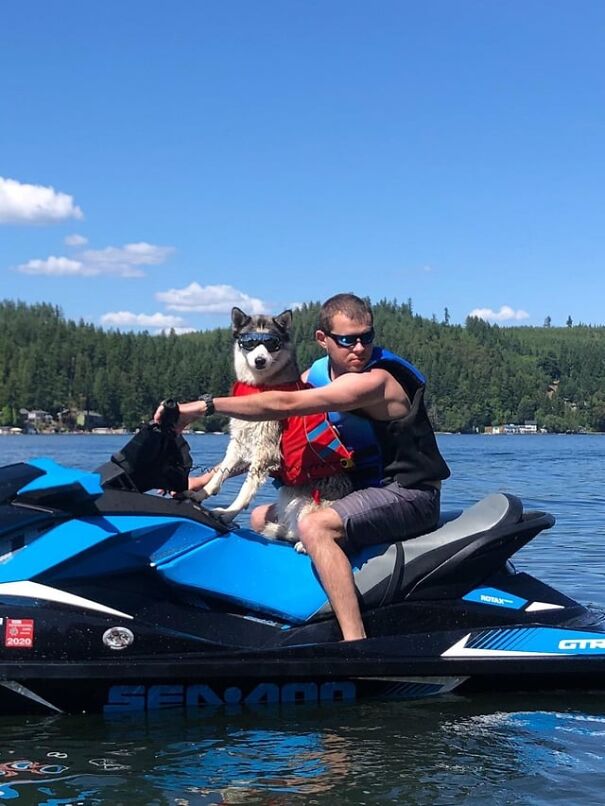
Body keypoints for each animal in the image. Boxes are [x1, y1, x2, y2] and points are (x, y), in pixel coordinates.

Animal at [198, 306, 354, 548]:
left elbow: (245, 490)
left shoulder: (266, 451)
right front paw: (201, 492)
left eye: (272, 343)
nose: (260, 360)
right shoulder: (239, 442)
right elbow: (220, 472)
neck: (259, 386)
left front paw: (228, 512)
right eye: (250, 342)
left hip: (309, 505)